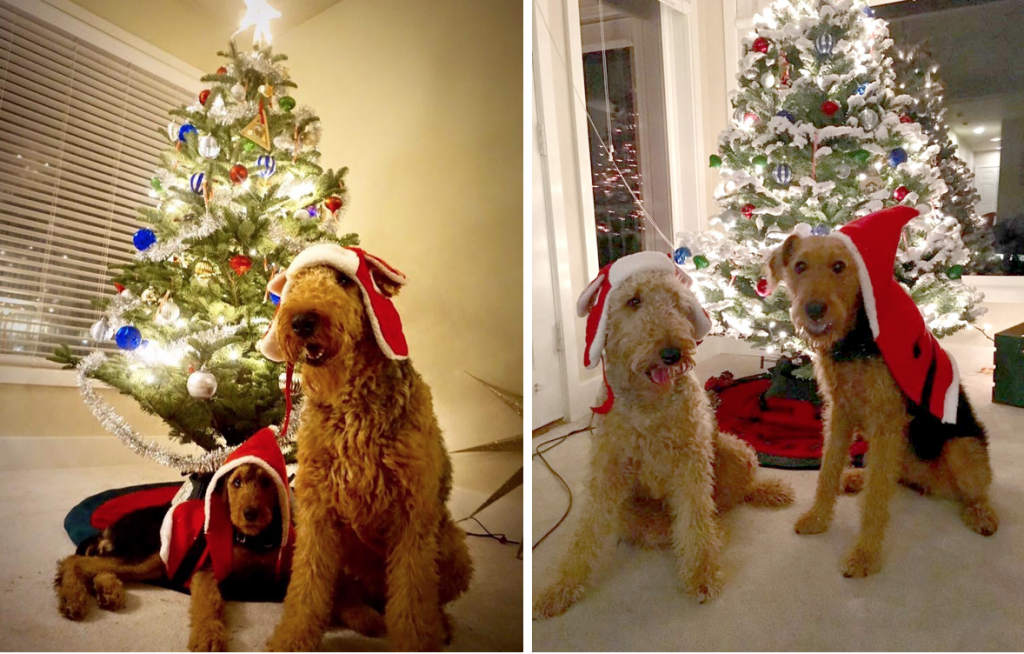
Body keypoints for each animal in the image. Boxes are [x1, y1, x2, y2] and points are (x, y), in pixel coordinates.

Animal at [260, 244, 475, 650]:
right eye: (296, 281)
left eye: (344, 280)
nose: (301, 321)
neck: (351, 405)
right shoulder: (317, 513)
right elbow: (307, 591)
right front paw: (292, 639)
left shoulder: (412, 514)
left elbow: (412, 599)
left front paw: (417, 641)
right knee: (345, 599)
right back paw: (368, 618)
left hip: (451, 544)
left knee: (427, 598)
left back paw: (438, 626)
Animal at [532, 250, 794, 618]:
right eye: (634, 300)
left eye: (677, 303)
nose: (673, 353)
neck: (649, 404)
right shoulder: (607, 470)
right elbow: (586, 532)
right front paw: (561, 587)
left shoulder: (691, 462)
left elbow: (696, 521)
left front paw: (702, 575)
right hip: (631, 511)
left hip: (735, 452)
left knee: (728, 500)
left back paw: (762, 496)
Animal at [770, 208, 999, 577]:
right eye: (800, 266)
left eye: (839, 266)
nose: (814, 310)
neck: (856, 338)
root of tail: (929, 484)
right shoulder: (840, 412)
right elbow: (828, 471)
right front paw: (818, 519)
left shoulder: (886, 421)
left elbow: (875, 499)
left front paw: (865, 555)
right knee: (890, 475)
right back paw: (855, 478)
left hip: (960, 449)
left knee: (976, 491)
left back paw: (981, 515)